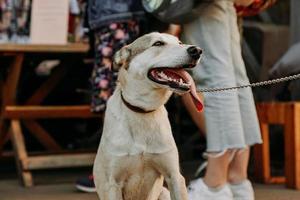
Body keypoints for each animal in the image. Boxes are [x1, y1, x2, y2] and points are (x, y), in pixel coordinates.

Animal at [92, 32, 203, 199]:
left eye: (179, 42)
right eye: (158, 43)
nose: (197, 50)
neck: (143, 110)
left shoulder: (174, 176)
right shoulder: (113, 183)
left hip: (164, 192)